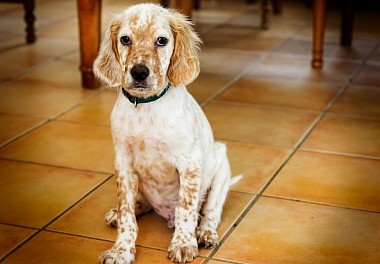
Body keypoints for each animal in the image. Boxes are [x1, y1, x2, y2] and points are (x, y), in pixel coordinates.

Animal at [93, 3, 235, 262]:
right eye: (125, 39)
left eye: (162, 40)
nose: (139, 72)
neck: (146, 106)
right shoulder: (123, 163)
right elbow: (128, 213)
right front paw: (121, 250)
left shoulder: (189, 163)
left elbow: (185, 208)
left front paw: (183, 243)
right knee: (140, 204)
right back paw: (119, 213)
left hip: (222, 171)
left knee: (210, 211)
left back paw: (205, 232)